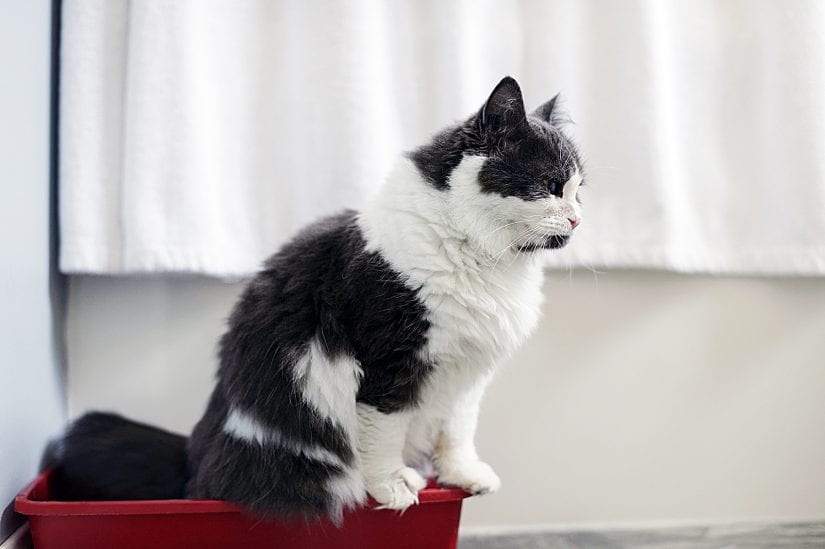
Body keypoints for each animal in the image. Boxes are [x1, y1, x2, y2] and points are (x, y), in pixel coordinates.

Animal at [51, 77, 584, 524]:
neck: (485, 260)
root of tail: (193, 459)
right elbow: (384, 435)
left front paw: (463, 477)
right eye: (550, 186)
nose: (578, 220)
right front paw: (393, 489)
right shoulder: (389, 365)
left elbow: (456, 432)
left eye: (580, 191)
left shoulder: (466, 373)